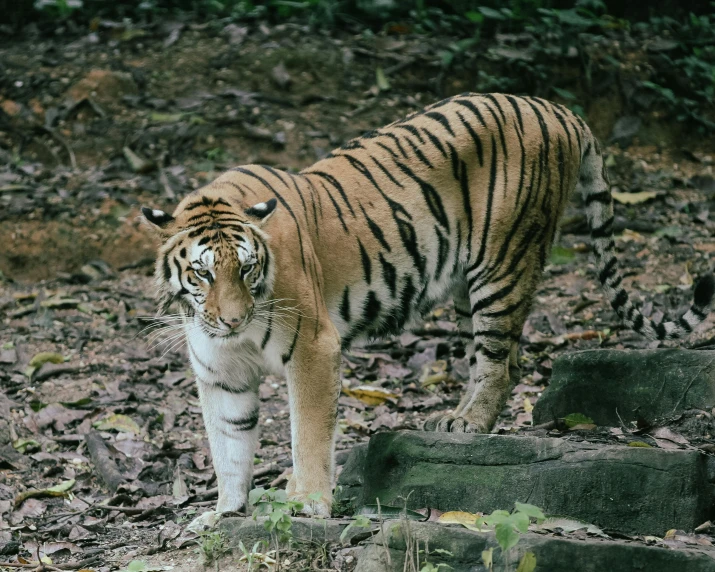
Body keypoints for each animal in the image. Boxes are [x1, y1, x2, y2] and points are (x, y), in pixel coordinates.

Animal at [143, 92, 712, 524]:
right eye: (203, 273)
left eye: (246, 269)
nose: (234, 319)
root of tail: (557, 108)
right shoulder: (220, 372)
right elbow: (229, 445)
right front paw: (225, 512)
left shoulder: (313, 347)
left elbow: (308, 432)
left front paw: (308, 502)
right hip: (467, 287)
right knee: (500, 359)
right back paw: (452, 420)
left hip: (502, 264)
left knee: (501, 362)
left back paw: (468, 425)